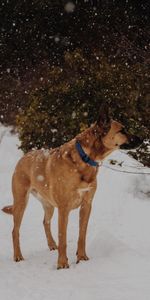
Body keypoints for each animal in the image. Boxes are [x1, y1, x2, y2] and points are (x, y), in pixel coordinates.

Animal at [2, 116, 138, 268]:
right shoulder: (63, 208)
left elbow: (82, 235)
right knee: (15, 231)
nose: (140, 139)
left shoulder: (86, 205)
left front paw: (82, 257)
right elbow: (63, 239)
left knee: (45, 222)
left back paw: (51, 244)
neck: (85, 158)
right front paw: (62, 264)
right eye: (122, 130)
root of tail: (24, 157)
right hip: (21, 202)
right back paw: (18, 256)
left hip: (48, 205)